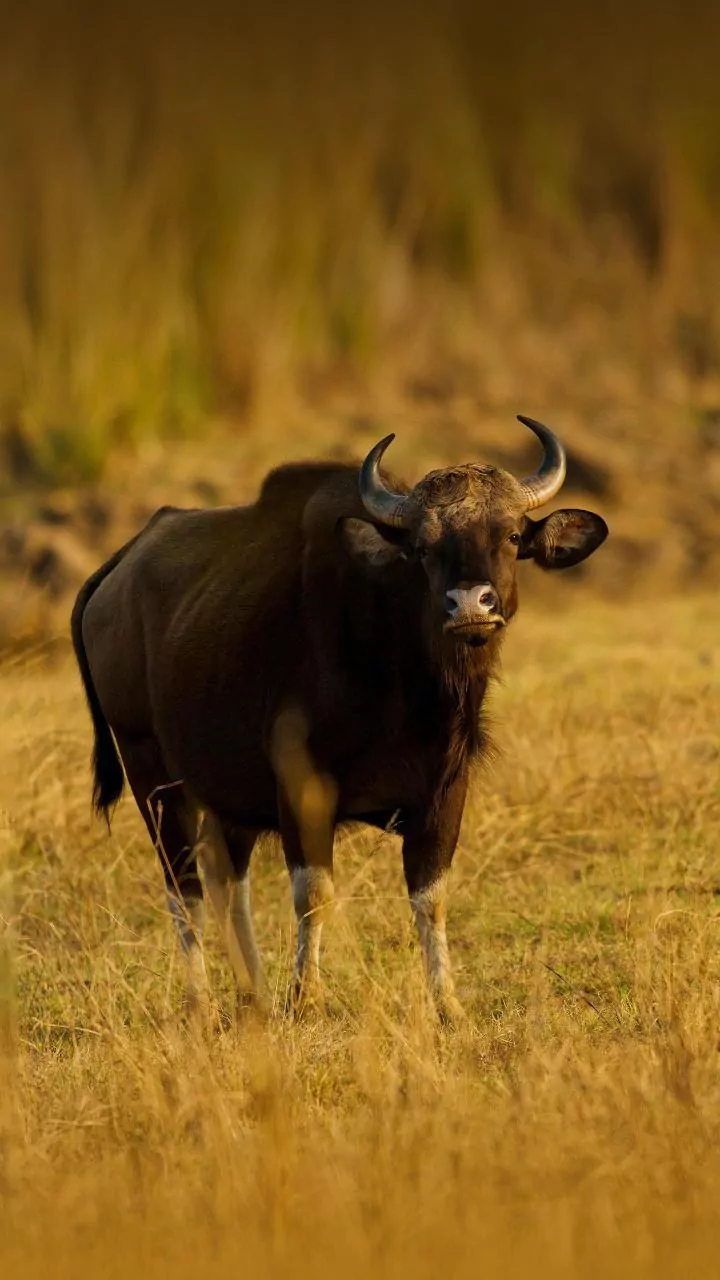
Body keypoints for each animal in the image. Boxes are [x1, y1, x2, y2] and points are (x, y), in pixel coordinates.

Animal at [71, 416, 608, 1022]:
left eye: (512, 536)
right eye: (422, 548)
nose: (471, 606)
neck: (405, 690)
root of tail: (117, 570)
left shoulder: (445, 792)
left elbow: (432, 898)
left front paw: (446, 1002)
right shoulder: (300, 789)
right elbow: (313, 895)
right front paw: (306, 997)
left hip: (225, 795)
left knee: (228, 881)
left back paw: (253, 993)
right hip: (151, 775)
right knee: (184, 888)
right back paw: (201, 1002)